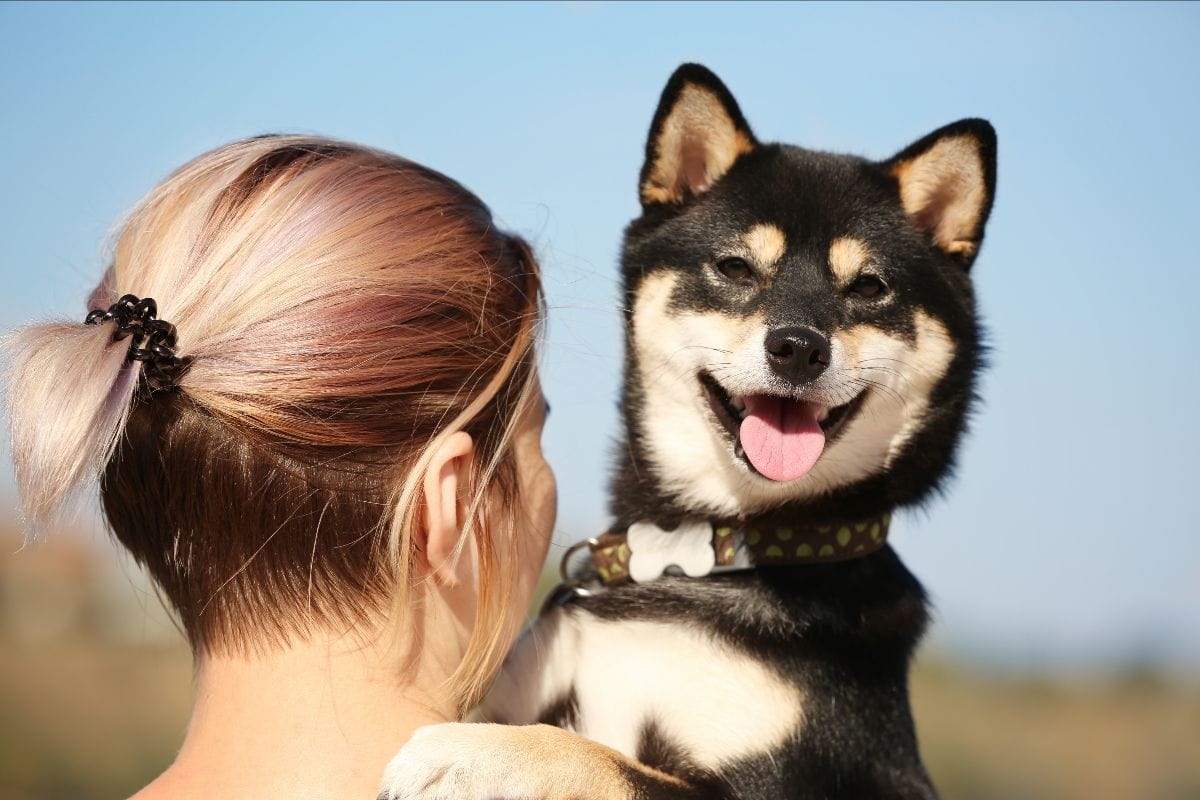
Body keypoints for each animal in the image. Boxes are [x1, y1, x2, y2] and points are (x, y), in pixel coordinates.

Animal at [381, 62, 993, 800]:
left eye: (869, 287)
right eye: (734, 268)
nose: (799, 348)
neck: (695, 552)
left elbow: (590, 753)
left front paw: (468, 751)